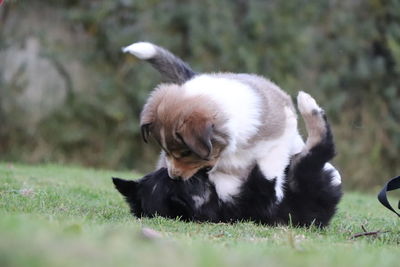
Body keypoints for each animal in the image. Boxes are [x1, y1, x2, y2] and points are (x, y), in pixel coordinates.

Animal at [113, 92, 344, 228]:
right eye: (184, 182)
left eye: (161, 172)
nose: (174, 173)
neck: (215, 198)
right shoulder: (264, 194)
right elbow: (268, 169)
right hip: (306, 178)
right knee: (321, 146)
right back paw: (307, 105)